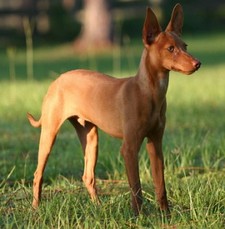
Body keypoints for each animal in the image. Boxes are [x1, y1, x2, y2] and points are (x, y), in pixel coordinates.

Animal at [27, 3, 201, 215]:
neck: (149, 91)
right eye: (170, 48)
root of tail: (57, 79)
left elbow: (160, 184)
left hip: (91, 139)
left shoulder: (156, 144)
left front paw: (165, 215)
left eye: (185, 46)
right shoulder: (129, 148)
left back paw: (98, 208)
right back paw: (35, 208)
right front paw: (138, 216)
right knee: (38, 173)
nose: (197, 63)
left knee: (88, 176)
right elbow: (136, 186)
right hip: (49, 133)